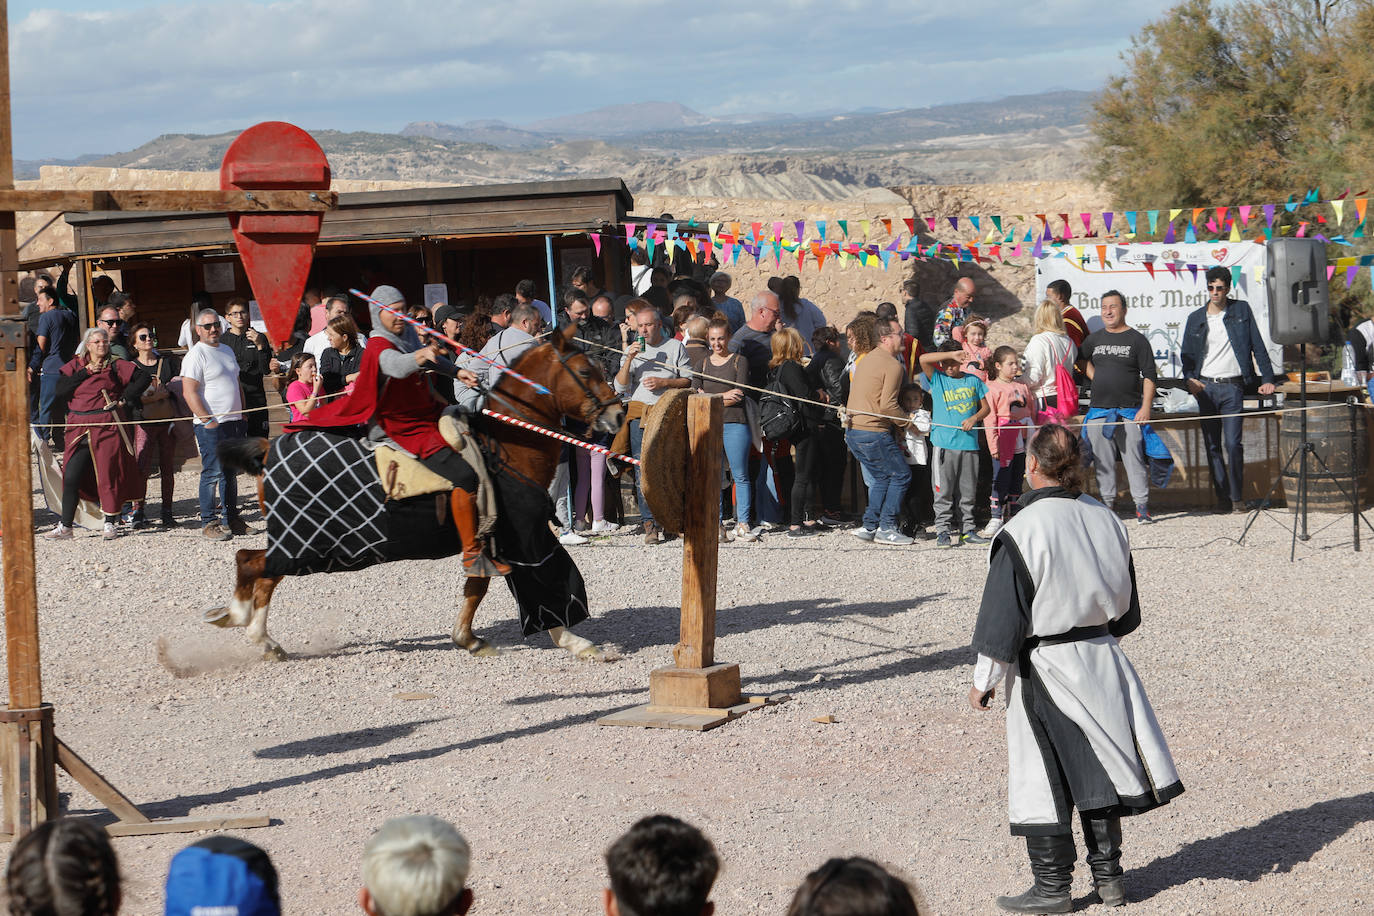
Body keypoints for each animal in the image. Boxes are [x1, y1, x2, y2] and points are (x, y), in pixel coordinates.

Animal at [203, 325, 623, 661]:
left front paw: (469, 638)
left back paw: (246, 624)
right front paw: (574, 641)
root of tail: (268, 448)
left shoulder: (498, 541)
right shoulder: (525, 537)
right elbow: (542, 581)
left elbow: (480, 583)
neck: (507, 445)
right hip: (307, 543)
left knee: (255, 565)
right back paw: (253, 630)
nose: (618, 414)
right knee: (257, 566)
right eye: (585, 371)